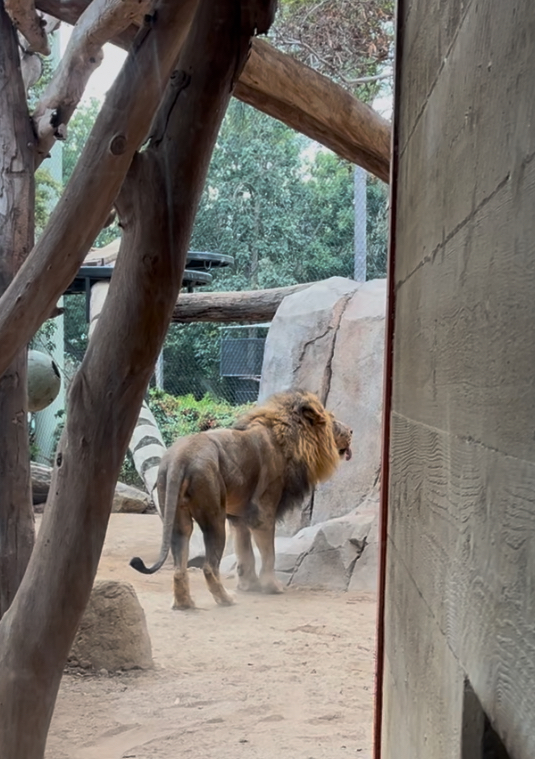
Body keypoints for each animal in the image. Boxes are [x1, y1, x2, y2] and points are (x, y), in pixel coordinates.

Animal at [130, 390, 352, 610]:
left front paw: (249, 585)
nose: (351, 431)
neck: (291, 440)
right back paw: (225, 599)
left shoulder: (239, 516)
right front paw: (271, 586)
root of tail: (180, 457)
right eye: (333, 420)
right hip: (214, 517)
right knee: (209, 567)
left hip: (178, 518)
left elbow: (244, 551)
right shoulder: (263, 512)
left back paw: (185, 603)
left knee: (179, 567)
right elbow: (268, 554)